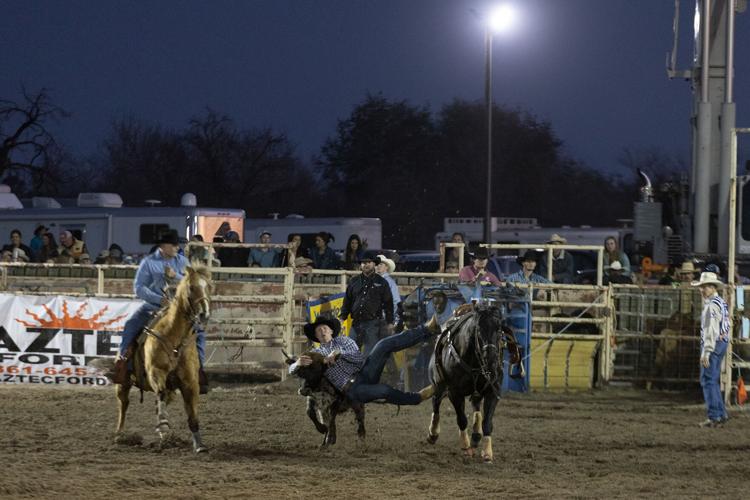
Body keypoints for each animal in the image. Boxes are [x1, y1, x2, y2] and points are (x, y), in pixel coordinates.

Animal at [116, 266, 213, 454]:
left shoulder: (190, 382)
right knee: (124, 404)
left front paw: (199, 445)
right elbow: (159, 394)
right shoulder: (156, 372)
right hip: (122, 384)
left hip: (171, 390)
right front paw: (163, 426)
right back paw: (120, 434)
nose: (204, 314)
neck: (173, 336)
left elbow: (192, 414)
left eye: (209, 287)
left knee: (160, 401)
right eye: (191, 287)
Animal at [426, 300, 520, 460]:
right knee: (436, 403)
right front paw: (465, 446)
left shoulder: (493, 390)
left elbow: (487, 422)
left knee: (476, 404)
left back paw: (476, 435)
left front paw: (487, 452)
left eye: (499, 329)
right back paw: (433, 433)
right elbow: (462, 419)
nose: (491, 359)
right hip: (438, 384)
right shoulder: (454, 393)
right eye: (478, 329)